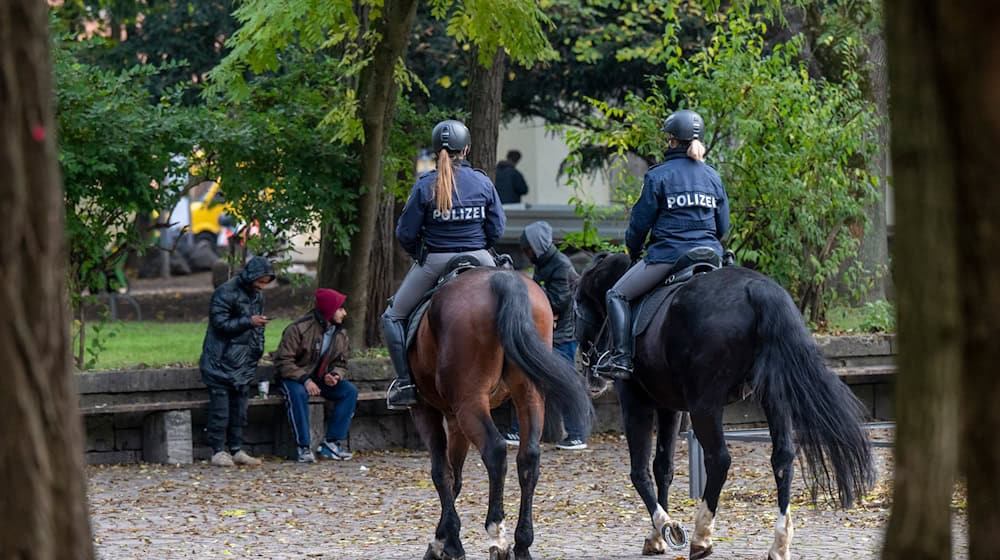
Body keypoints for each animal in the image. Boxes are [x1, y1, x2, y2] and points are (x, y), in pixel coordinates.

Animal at [408, 266, 592, 560]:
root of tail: (502, 279)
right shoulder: (454, 419)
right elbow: (455, 476)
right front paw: (442, 538)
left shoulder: (426, 409)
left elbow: (441, 472)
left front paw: (447, 543)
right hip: (528, 394)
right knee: (529, 458)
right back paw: (522, 543)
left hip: (470, 402)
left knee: (494, 451)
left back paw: (497, 535)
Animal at [576, 254, 872, 560]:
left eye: (576, 308)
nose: (589, 375)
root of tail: (757, 289)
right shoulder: (670, 407)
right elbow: (663, 468)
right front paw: (656, 536)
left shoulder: (636, 402)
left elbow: (640, 471)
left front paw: (666, 527)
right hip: (773, 397)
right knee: (782, 458)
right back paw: (779, 543)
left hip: (704, 405)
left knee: (718, 459)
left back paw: (702, 537)